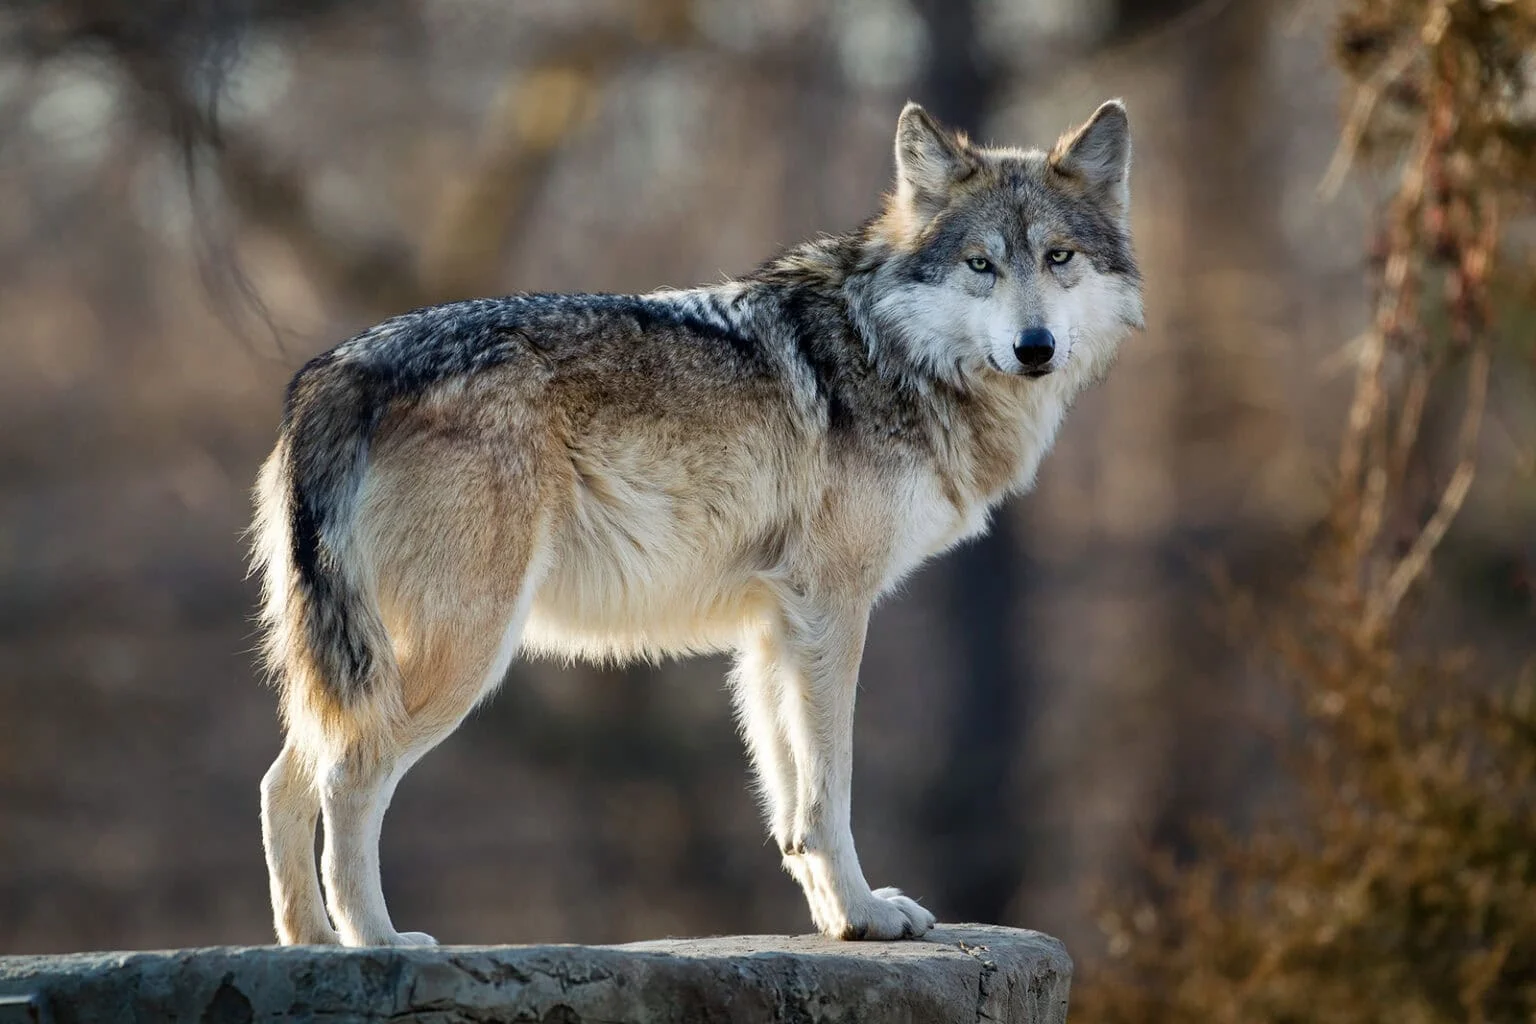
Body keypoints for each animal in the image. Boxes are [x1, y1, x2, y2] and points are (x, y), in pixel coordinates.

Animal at [251, 99, 1143, 946]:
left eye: (1059, 258)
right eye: (980, 265)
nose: (1035, 347)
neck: (890, 350)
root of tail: (336, 370)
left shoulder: (772, 629)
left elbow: (790, 809)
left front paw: (840, 920)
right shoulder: (833, 609)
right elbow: (830, 790)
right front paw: (866, 913)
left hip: (354, 660)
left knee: (283, 780)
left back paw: (310, 943)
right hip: (462, 648)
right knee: (346, 777)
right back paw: (373, 940)